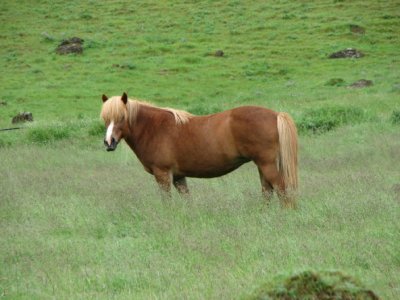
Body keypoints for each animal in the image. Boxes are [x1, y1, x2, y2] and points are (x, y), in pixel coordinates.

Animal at [101, 92, 298, 207]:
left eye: (121, 117)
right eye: (105, 118)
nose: (109, 142)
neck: (154, 127)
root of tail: (275, 115)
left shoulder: (163, 174)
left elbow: (167, 201)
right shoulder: (178, 177)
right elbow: (187, 200)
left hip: (267, 164)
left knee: (281, 189)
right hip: (262, 165)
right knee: (267, 191)